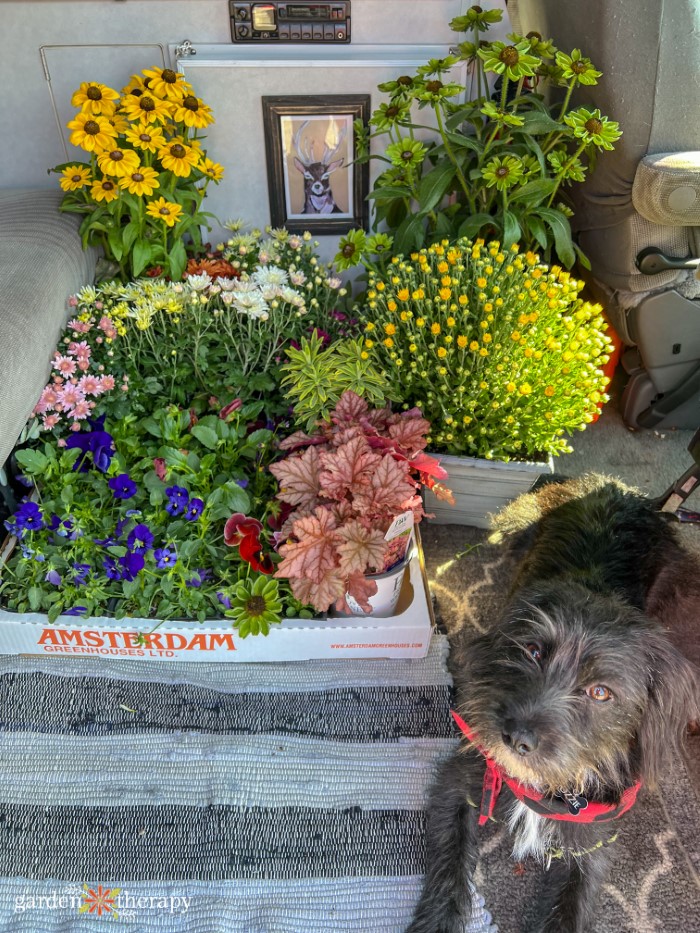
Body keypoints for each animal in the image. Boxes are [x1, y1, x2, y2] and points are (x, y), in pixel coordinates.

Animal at [408, 476, 696, 928]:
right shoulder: (461, 778)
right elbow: (449, 865)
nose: (515, 739)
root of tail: (613, 485)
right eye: (533, 651)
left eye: (601, 692)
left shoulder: (592, 845)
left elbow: (571, 907)